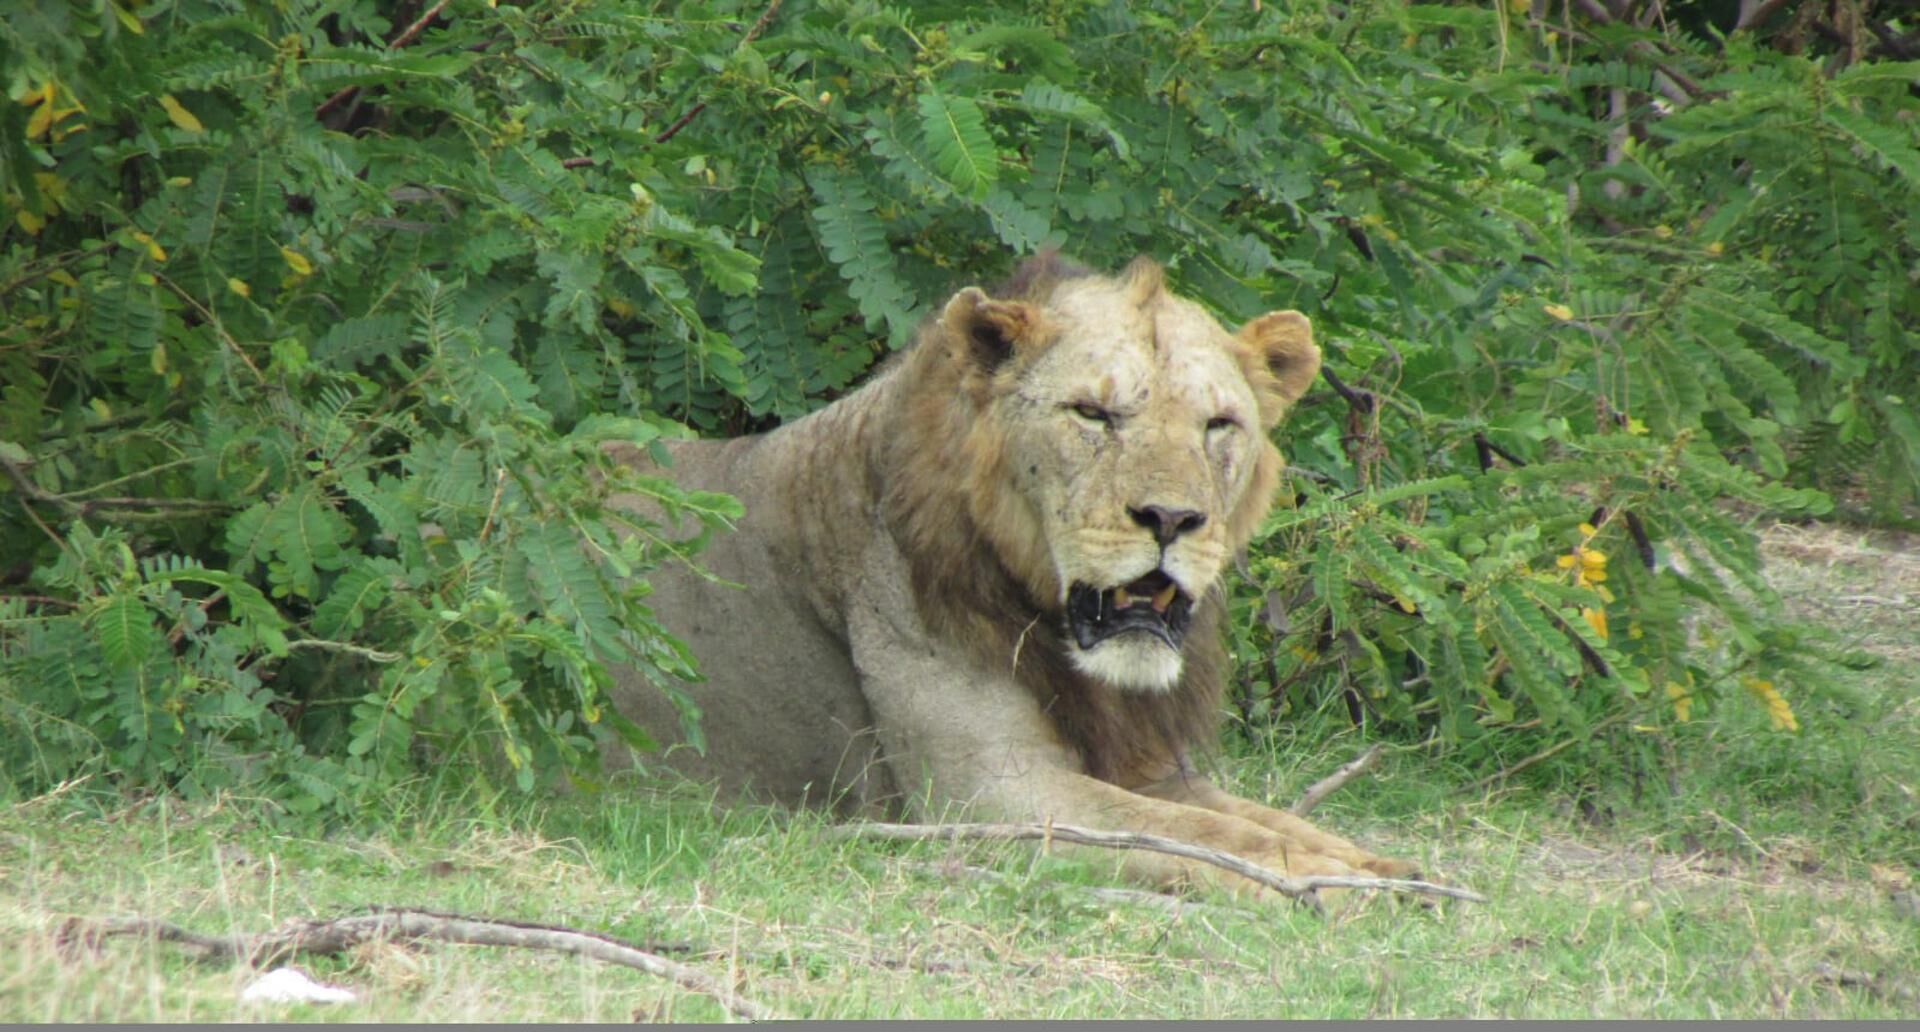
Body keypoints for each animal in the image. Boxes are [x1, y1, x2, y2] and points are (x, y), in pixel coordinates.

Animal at [601, 253, 1416, 897]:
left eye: (1219, 426)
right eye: (1091, 414)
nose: (1171, 518)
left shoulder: (1151, 767)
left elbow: (1251, 819)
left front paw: (1384, 869)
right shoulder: (991, 794)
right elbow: (1190, 835)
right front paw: (1334, 884)